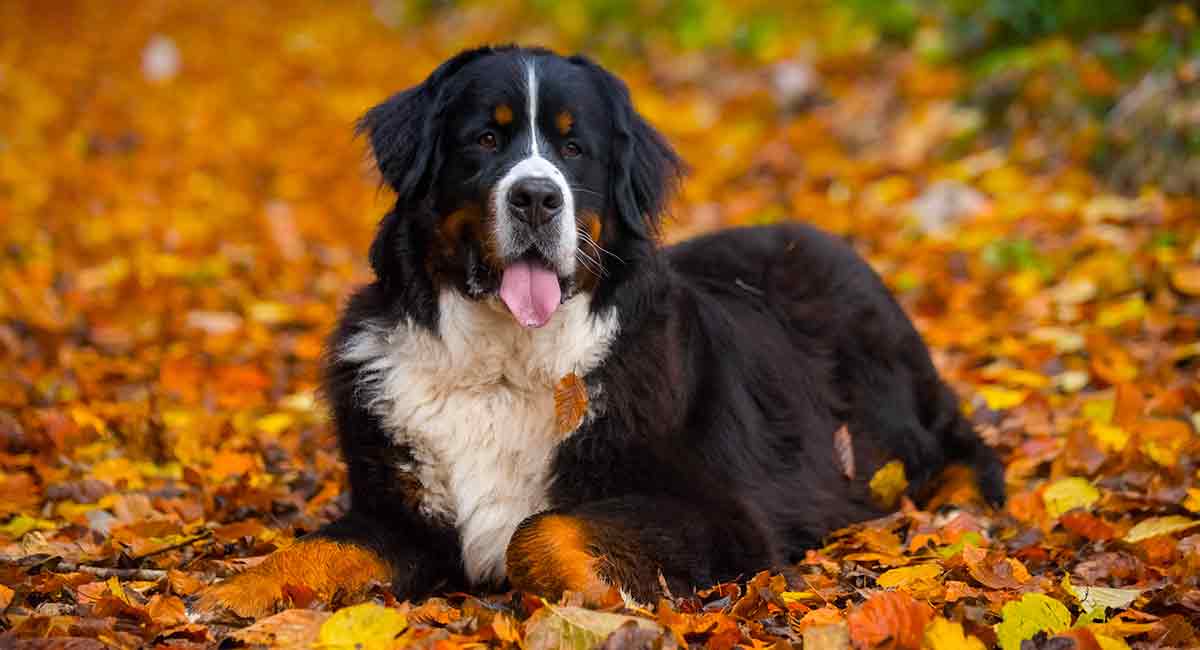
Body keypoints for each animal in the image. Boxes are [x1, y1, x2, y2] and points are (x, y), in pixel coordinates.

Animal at [196, 45, 1003, 623]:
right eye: (484, 138)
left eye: (573, 149)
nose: (535, 196)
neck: (503, 364)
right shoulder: (400, 515)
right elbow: (314, 549)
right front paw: (225, 593)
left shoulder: (724, 515)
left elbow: (540, 530)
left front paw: (598, 601)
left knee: (961, 447)